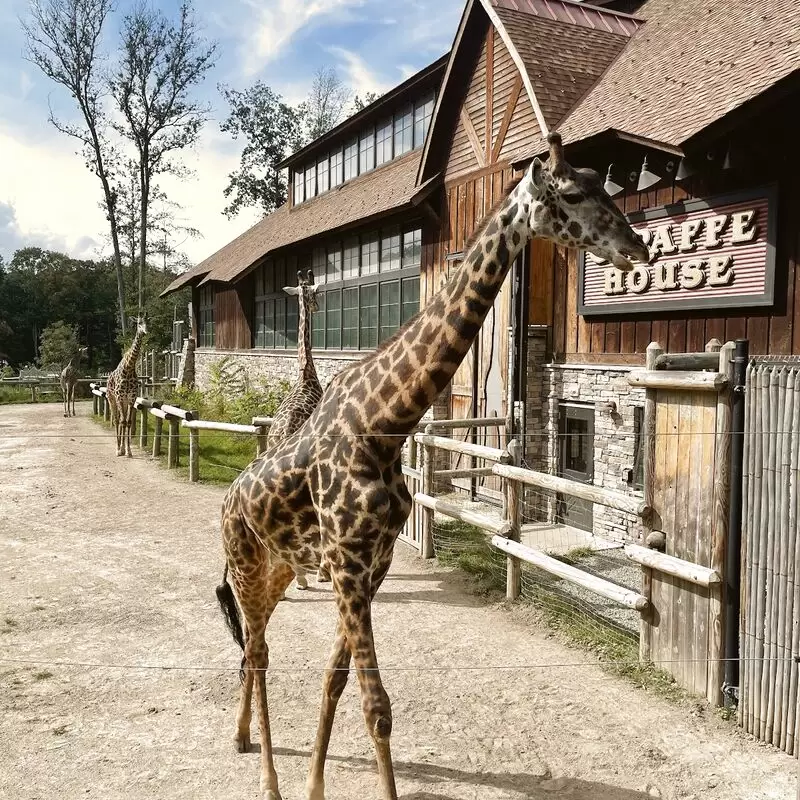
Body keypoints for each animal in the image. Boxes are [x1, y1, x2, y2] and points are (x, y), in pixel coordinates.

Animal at [105, 318, 148, 460]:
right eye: (139, 323)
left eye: (147, 322)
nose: (145, 331)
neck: (129, 368)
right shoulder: (119, 397)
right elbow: (122, 421)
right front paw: (120, 450)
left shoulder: (131, 398)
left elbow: (128, 422)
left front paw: (128, 451)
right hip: (112, 399)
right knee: (116, 420)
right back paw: (118, 448)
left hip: (123, 402)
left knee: (121, 420)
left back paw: (122, 448)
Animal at [214, 133, 648, 800]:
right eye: (573, 194)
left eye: (606, 184)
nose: (638, 247)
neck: (384, 423)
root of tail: (227, 500)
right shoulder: (346, 564)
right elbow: (376, 707)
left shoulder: (373, 564)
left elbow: (337, 683)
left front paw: (315, 786)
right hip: (244, 564)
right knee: (257, 653)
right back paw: (267, 781)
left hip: (281, 568)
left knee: (250, 651)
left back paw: (242, 740)